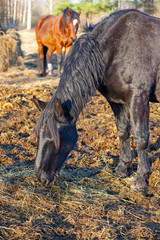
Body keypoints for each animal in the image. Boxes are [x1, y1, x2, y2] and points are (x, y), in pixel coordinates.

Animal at [33, 9, 159, 190]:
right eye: (38, 135)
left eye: (55, 138)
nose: (41, 178)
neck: (117, 48)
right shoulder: (116, 101)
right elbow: (123, 132)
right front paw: (123, 168)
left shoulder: (139, 100)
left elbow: (141, 138)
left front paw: (141, 179)